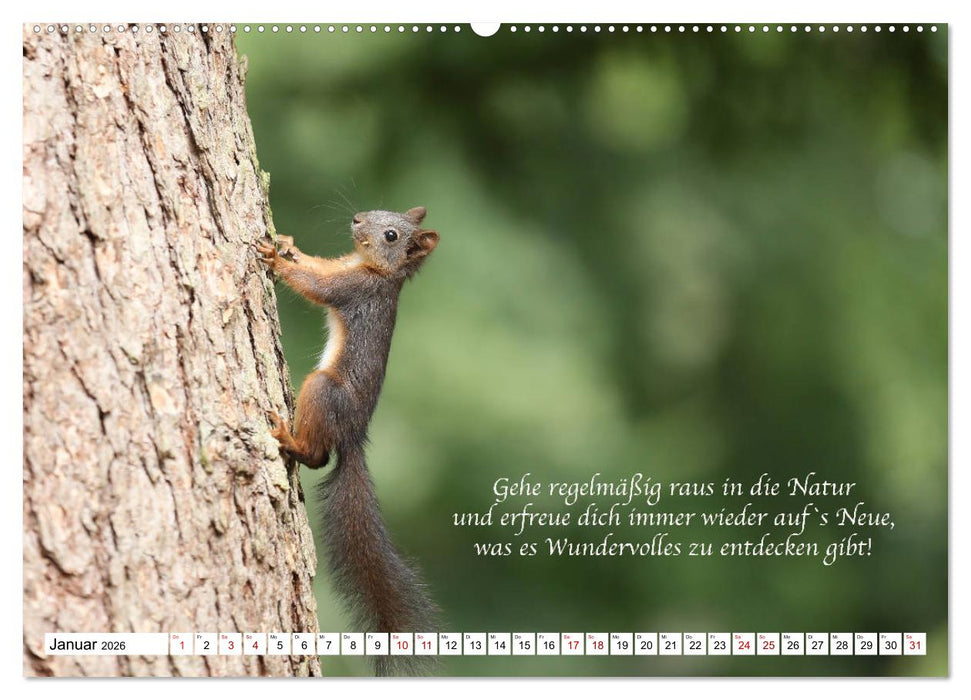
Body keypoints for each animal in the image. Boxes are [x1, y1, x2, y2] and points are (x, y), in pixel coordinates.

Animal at [257, 206, 440, 676]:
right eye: (381, 212)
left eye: (392, 234)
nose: (357, 219)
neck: (374, 269)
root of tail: (354, 436)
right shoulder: (342, 266)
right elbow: (317, 266)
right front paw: (288, 244)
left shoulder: (354, 289)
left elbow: (316, 285)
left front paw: (275, 258)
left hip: (322, 390)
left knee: (317, 457)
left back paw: (287, 438)